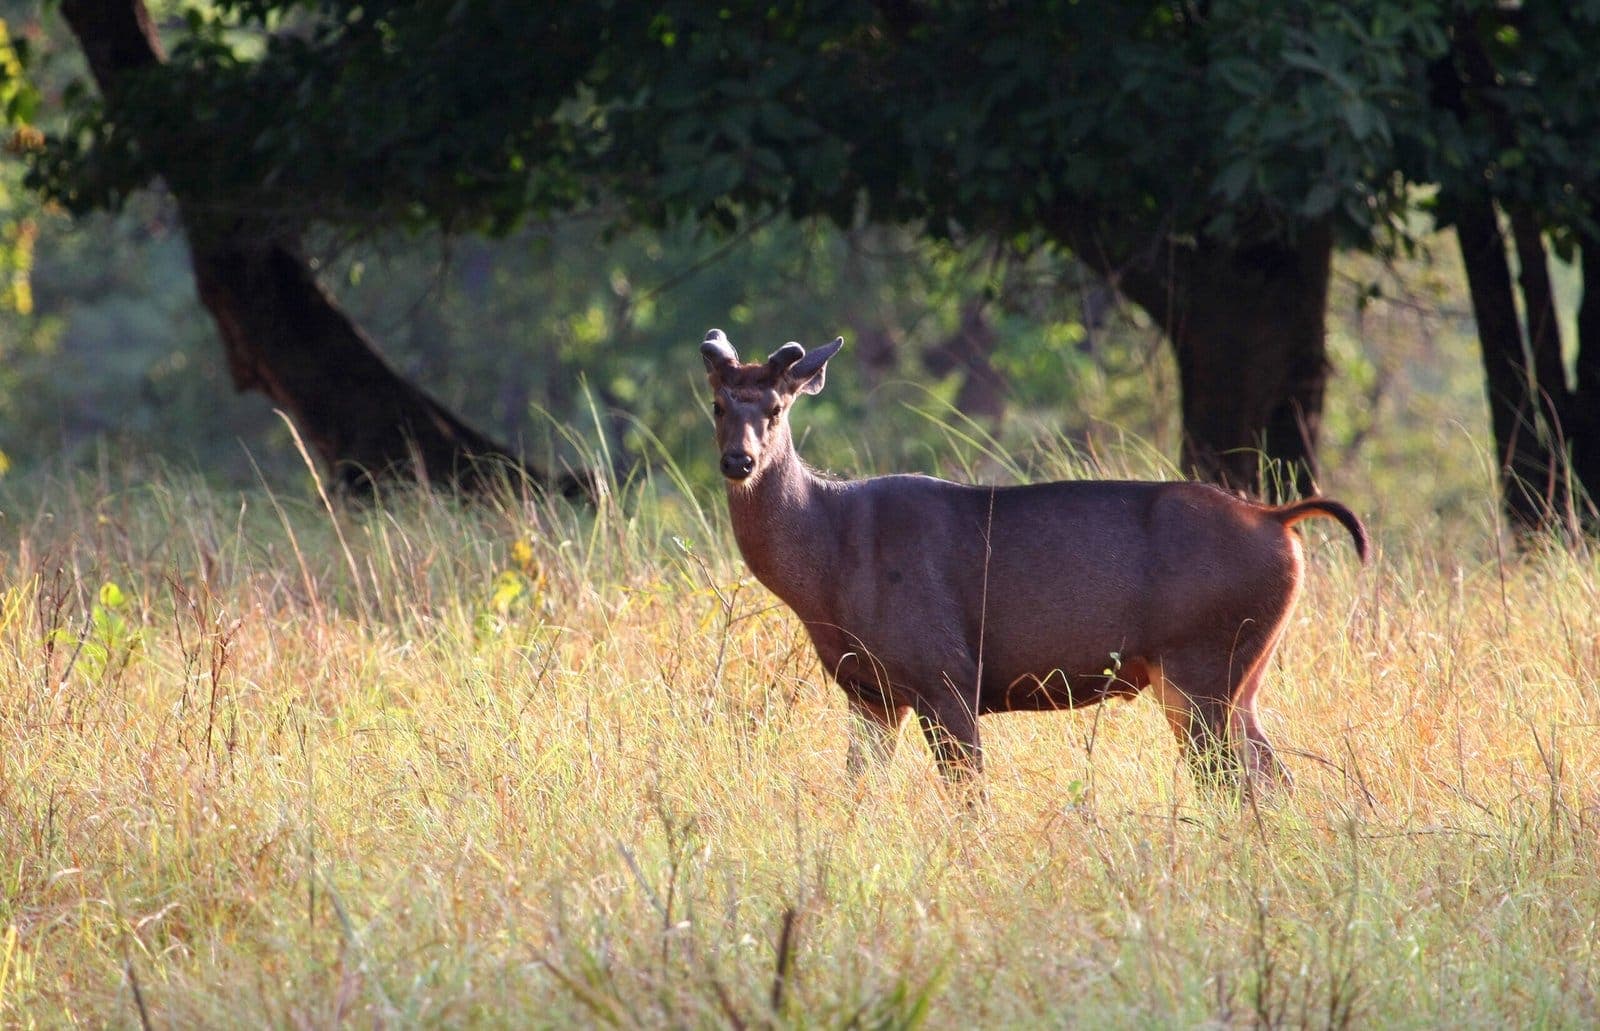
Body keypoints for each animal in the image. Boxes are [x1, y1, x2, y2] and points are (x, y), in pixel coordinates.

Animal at [699, 328, 1368, 798]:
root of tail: (1278, 521)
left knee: (1238, 782)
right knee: (1273, 778)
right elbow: (858, 794)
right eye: (717, 406)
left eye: (777, 408)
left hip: (1202, 664)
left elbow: (970, 798)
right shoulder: (869, 692)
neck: (830, 567)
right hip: (1238, 675)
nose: (738, 460)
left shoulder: (946, 672)